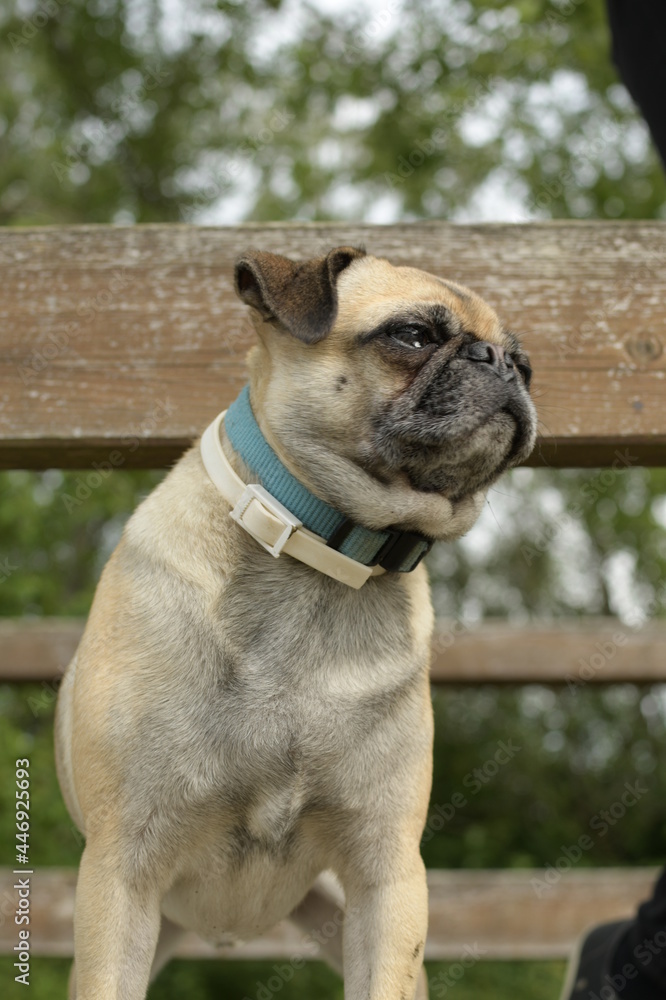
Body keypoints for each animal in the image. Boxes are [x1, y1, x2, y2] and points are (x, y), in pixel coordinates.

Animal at [55, 246, 537, 999]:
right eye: (414, 336)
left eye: (525, 362)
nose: (501, 362)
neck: (326, 559)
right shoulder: (121, 868)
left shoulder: (387, 877)